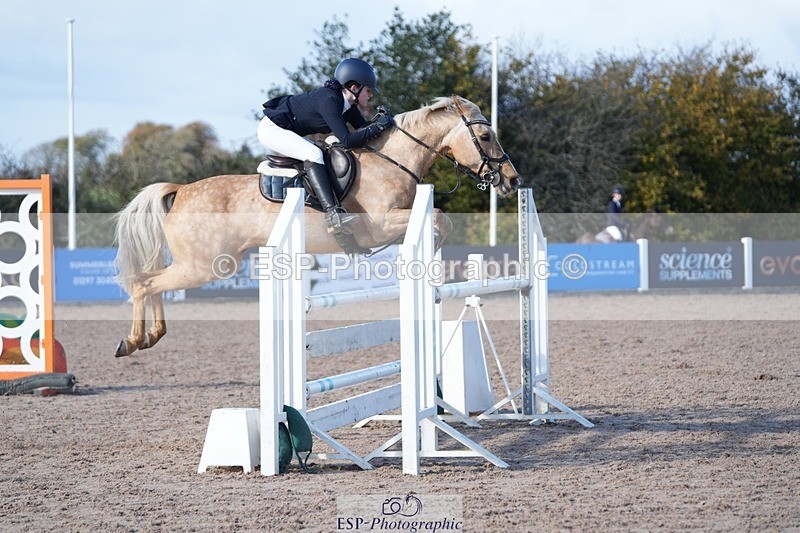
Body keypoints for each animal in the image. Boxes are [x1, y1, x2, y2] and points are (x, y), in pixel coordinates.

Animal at [113, 96, 521, 357]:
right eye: (486, 136)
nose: (512, 180)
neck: (393, 160)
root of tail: (180, 190)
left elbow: (439, 217)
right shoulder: (379, 225)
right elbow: (439, 217)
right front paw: (429, 248)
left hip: (203, 264)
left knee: (151, 281)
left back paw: (151, 336)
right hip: (207, 265)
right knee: (145, 283)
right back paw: (132, 341)